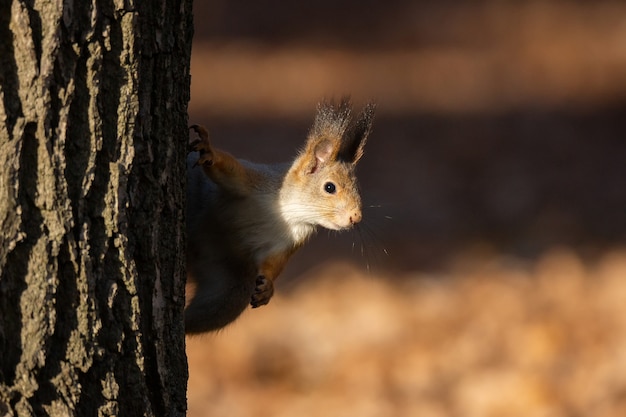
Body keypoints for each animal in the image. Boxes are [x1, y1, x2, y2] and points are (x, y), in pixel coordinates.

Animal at [183, 99, 372, 334]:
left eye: (359, 189)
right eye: (330, 187)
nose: (356, 217)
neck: (292, 211)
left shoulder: (293, 238)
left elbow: (274, 262)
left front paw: (268, 288)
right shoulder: (253, 181)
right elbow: (226, 169)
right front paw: (208, 150)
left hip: (229, 290)